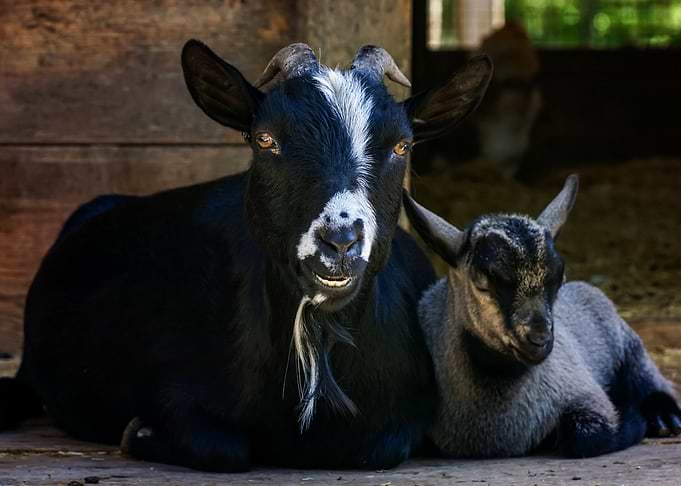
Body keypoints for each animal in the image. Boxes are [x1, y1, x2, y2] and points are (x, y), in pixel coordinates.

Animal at [0, 41, 493, 471]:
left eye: (402, 146)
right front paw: (137, 431)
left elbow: (379, 448)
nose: (339, 241)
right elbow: (223, 449)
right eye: (265, 139)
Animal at [403, 175, 681, 458]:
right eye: (482, 284)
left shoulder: (584, 392)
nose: (539, 339)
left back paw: (664, 418)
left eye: (559, 279)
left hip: (627, 344)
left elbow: (587, 438)